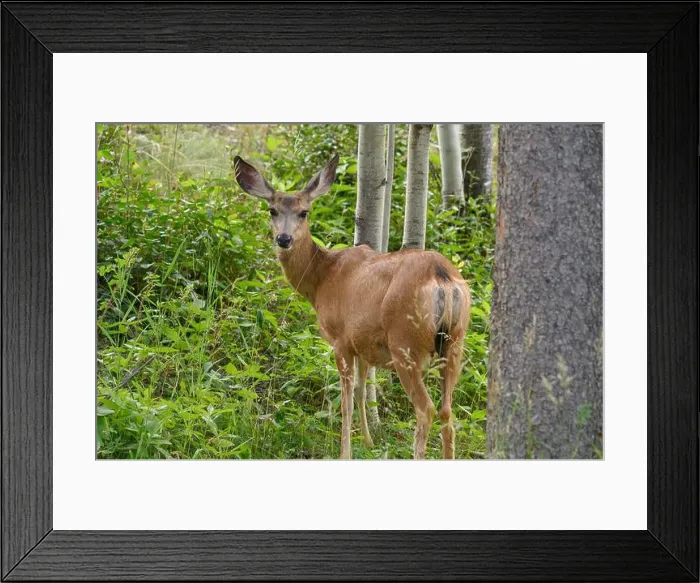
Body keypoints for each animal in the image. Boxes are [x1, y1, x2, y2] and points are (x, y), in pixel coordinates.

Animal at [234, 153, 470, 459]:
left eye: (304, 212)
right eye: (272, 210)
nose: (283, 239)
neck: (322, 279)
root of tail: (442, 276)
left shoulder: (341, 338)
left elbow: (344, 400)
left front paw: (344, 451)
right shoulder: (363, 343)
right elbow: (360, 390)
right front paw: (368, 443)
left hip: (405, 342)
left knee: (426, 409)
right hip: (455, 343)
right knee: (447, 412)